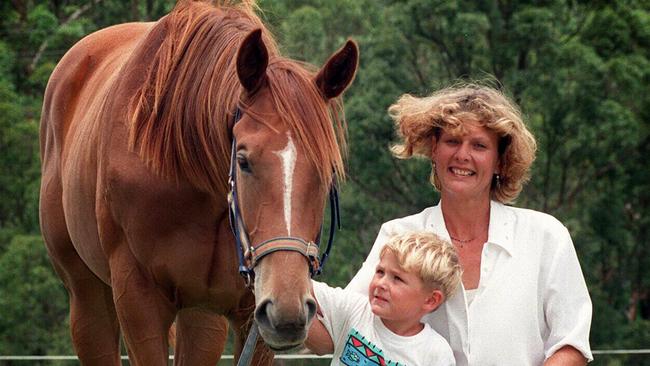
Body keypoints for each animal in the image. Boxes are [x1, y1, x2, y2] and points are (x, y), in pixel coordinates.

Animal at [39, 1, 360, 364]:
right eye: (243, 160)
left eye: (327, 170)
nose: (288, 309)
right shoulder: (138, 302)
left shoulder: (251, 316)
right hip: (87, 298)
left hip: (202, 315)